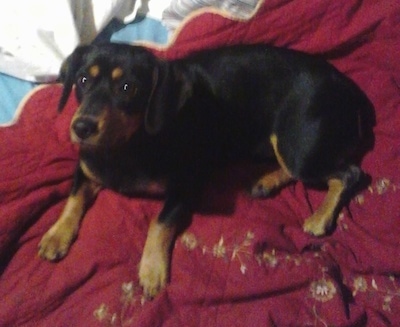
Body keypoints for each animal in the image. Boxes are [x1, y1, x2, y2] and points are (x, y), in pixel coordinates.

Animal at [36, 43, 372, 300]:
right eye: (82, 80)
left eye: (127, 88)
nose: (81, 127)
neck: (126, 146)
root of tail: (344, 84)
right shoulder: (86, 169)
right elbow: (73, 200)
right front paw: (55, 236)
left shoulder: (187, 184)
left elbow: (159, 223)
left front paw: (152, 270)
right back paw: (265, 182)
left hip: (298, 144)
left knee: (349, 173)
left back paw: (319, 218)